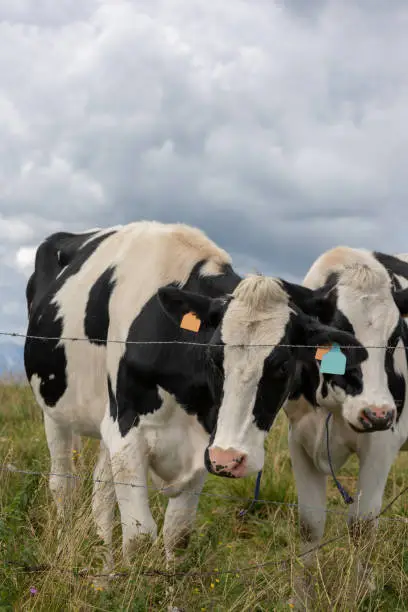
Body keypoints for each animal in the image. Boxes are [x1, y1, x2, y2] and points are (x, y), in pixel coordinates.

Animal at [23, 219, 364, 568]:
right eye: (213, 356)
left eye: (284, 365)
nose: (230, 459)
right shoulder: (126, 428)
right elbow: (140, 536)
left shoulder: (202, 443)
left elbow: (178, 534)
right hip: (56, 410)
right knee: (63, 485)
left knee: (101, 495)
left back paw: (104, 571)